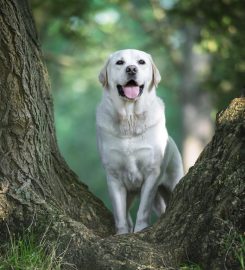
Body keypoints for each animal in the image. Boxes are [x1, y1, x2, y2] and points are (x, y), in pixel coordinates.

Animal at [96, 49, 183, 234]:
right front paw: (122, 233)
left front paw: (140, 229)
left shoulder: (152, 173)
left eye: (141, 62)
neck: (130, 118)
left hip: (172, 181)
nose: (131, 69)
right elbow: (120, 212)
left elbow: (143, 208)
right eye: (120, 62)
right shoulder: (114, 176)